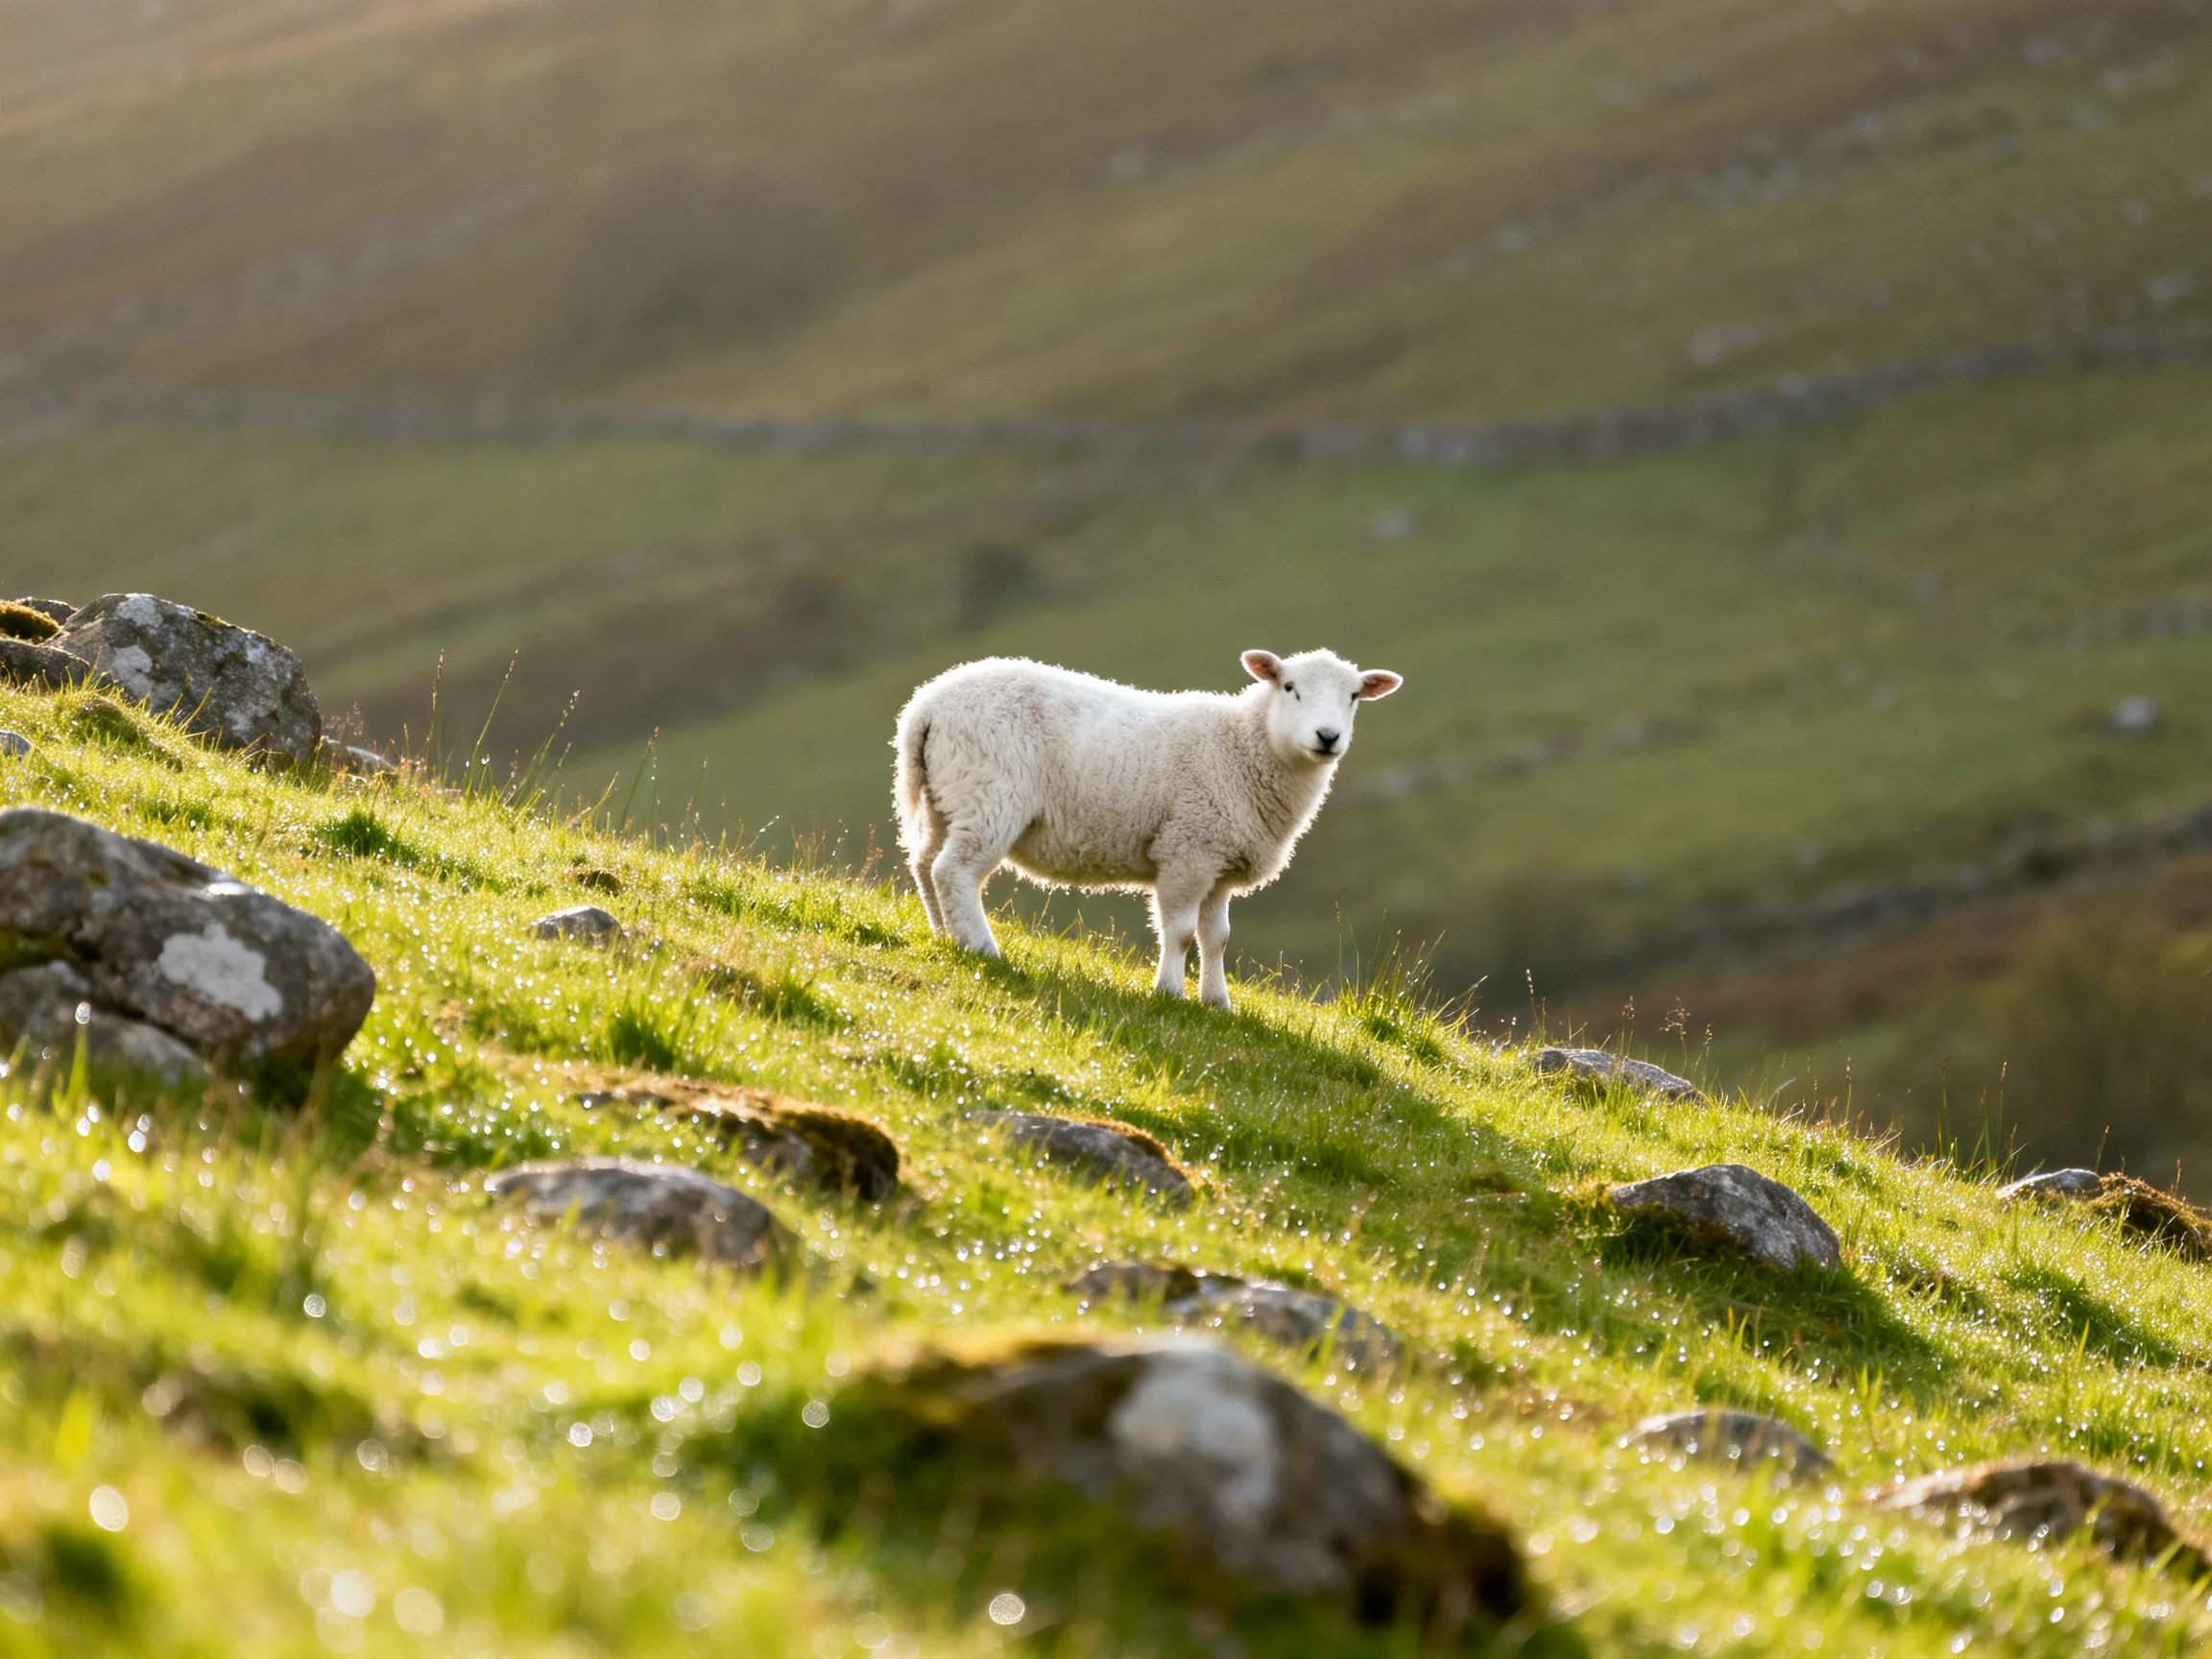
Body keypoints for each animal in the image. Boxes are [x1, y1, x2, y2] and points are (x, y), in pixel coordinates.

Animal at [893, 649, 1403, 1008]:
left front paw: (1217, 1003)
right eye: (1290, 687)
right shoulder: (1187, 849)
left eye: (1353, 697)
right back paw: (982, 949)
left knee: (926, 867)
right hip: (990, 794)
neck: (1243, 748)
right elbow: (1179, 933)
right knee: (954, 872)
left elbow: (1216, 938)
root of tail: (926, 706)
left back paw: (945, 936)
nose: (1328, 737)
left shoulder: (1217, 862)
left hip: (946, 796)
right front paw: (1169, 993)